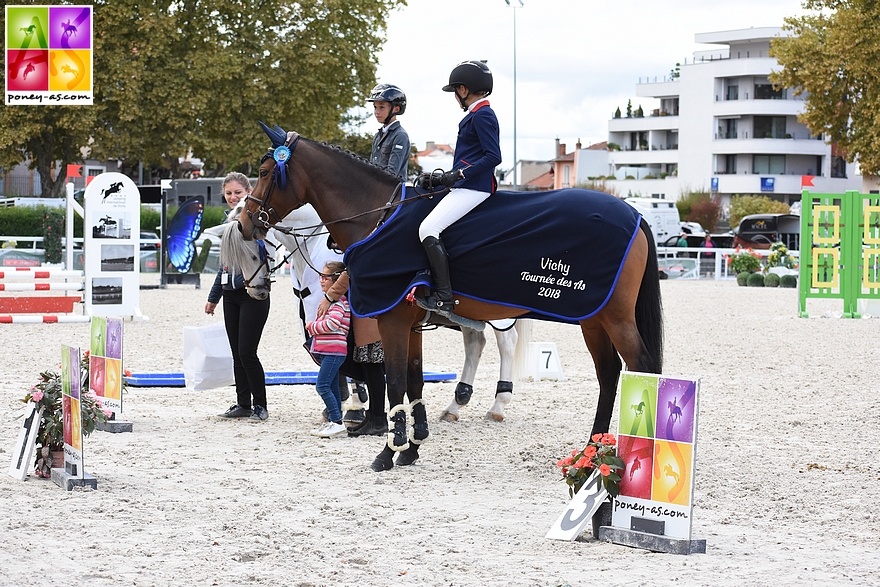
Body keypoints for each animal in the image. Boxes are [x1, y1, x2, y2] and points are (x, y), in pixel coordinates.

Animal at [237, 125, 664, 474]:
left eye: (264, 173)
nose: (244, 224)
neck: (378, 218)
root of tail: (635, 214)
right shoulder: (410, 323)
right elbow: (413, 382)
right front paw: (412, 447)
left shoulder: (390, 319)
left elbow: (394, 381)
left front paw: (387, 453)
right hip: (594, 318)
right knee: (608, 373)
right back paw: (591, 452)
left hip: (614, 318)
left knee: (640, 366)